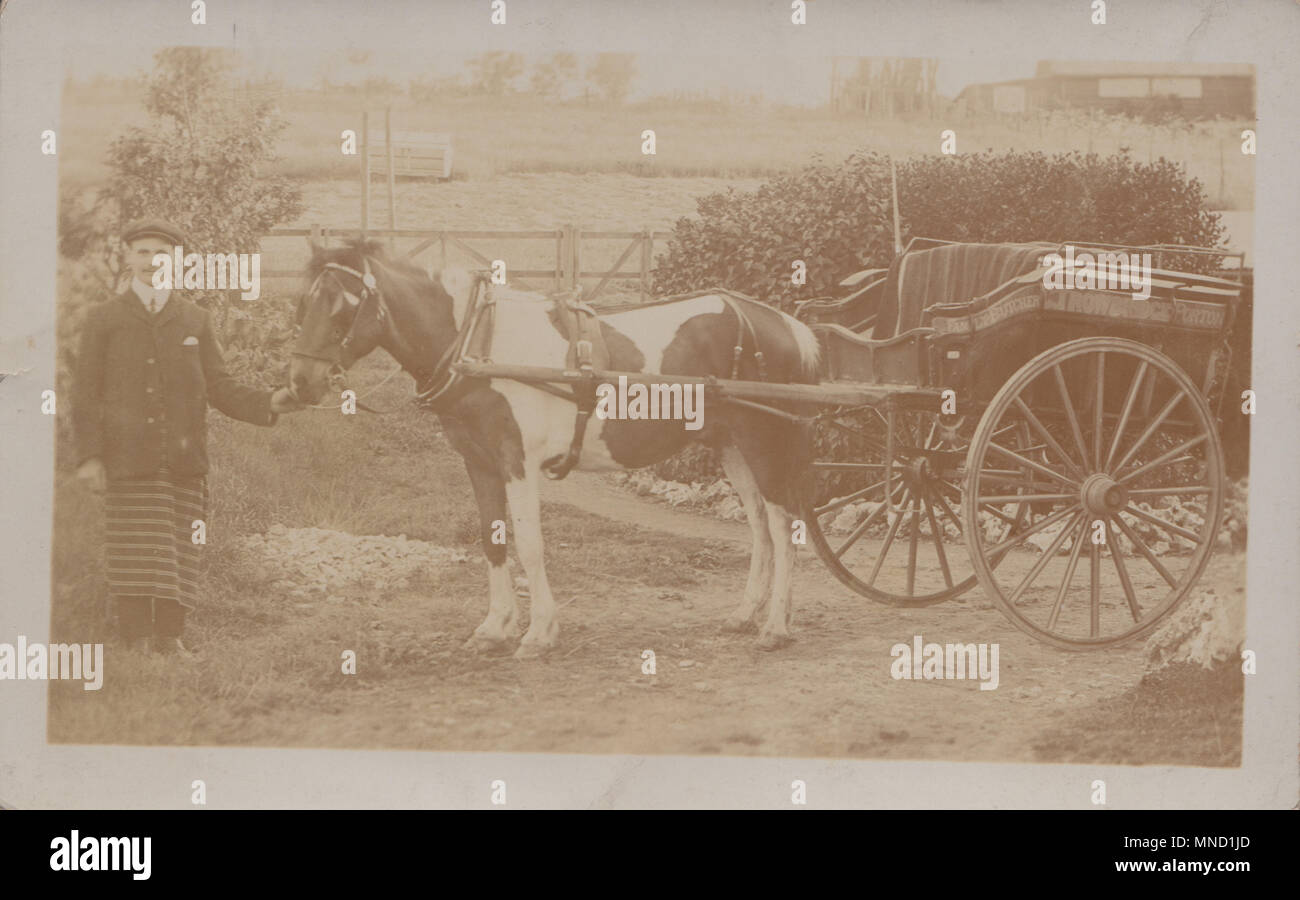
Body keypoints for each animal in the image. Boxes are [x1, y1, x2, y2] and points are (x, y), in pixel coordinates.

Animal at [295, 239, 821, 658]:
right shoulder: (479, 462)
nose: (301, 381)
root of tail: (787, 326)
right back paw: (747, 613)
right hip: (733, 445)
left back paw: (775, 626)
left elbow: (529, 544)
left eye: (343, 305)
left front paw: (539, 632)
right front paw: (494, 627)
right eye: (303, 304)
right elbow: (492, 539)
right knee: (760, 525)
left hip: (763, 441)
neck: (478, 344)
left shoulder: (517, 462)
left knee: (781, 525)